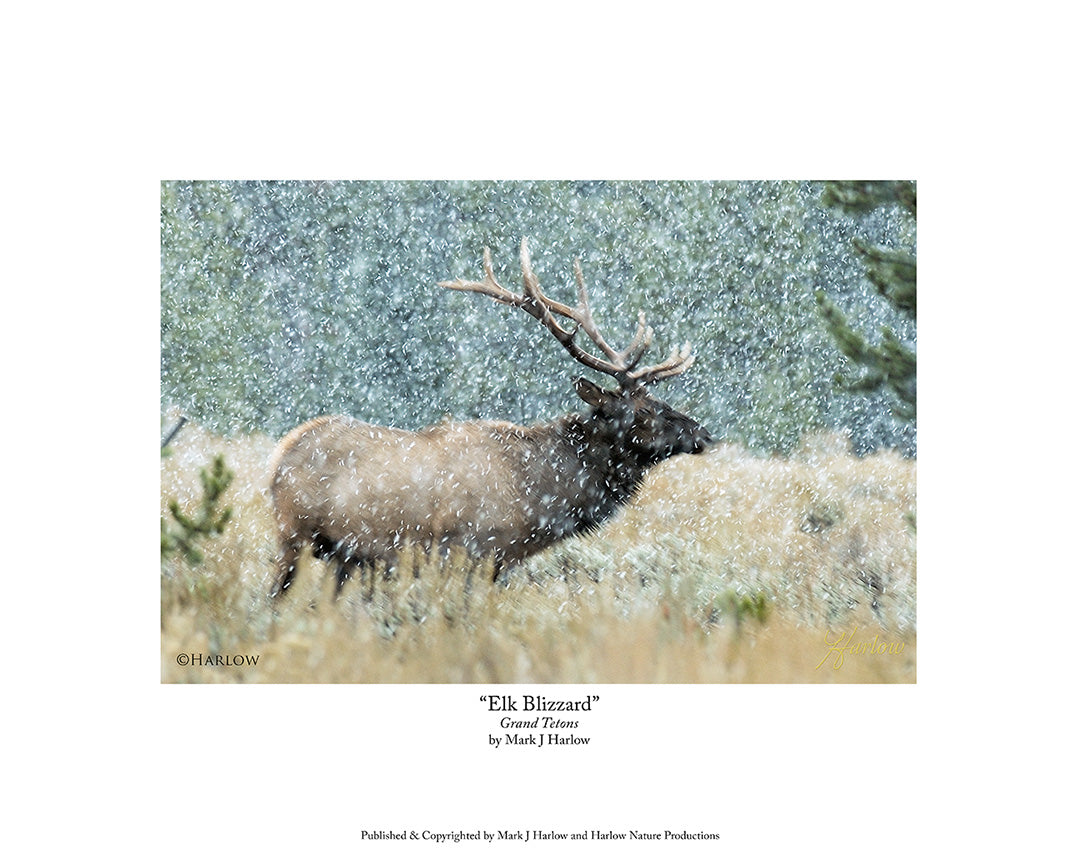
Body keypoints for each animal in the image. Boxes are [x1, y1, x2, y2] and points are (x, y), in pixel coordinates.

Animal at [268, 238, 713, 599]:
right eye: (644, 409)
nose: (704, 433)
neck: (538, 496)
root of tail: (280, 455)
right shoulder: (472, 550)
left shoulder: (500, 562)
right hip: (292, 537)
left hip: (342, 556)